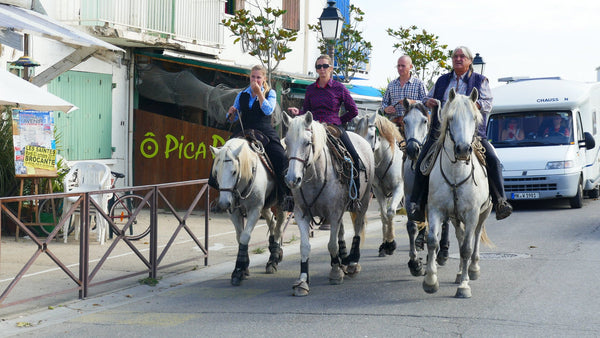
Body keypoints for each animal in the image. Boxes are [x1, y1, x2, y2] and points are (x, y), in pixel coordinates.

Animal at [211, 137, 286, 286]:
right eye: (216, 172)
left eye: (234, 171)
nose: (223, 204)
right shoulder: (234, 212)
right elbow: (239, 237)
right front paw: (244, 267)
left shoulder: (254, 210)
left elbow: (245, 236)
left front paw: (239, 270)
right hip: (265, 207)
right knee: (272, 222)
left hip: (281, 205)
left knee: (279, 227)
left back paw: (273, 260)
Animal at [284, 113, 372, 296]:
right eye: (286, 142)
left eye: (307, 142)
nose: (292, 179)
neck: (315, 176)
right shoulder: (301, 214)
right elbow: (305, 247)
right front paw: (303, 281)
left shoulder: (334, 213)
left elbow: (331, 245)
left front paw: (336, 273)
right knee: (341, 232)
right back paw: (342, 259)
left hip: (364, 201)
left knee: (358, 228)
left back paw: (352, 263)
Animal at [356, 111, 404, 256]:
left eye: (372, 135)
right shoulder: (378, 191)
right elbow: (384, 215)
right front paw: (385, 244)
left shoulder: (399, 188)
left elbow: (391, 212)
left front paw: (391, 243)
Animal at [422, 89, 492, 298]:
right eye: (451, 118)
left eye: (474, 118)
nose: (462, 150)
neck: (455, 173)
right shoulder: (436, 210)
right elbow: (432, 241)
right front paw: (430, 281)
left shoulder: (472, 213)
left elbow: (467, 248)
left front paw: (464, 286)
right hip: (455, 217)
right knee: (460, 238)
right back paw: (461, 272)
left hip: (484, 212)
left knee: (475, 236)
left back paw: (473, 270)